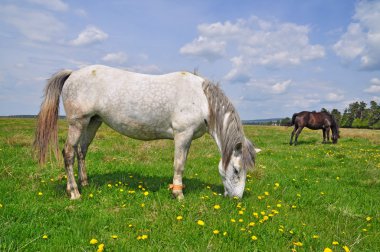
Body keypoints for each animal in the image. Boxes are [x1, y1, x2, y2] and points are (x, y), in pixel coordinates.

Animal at [34, 65, 258, 201]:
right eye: (236, 170)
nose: (236, 199)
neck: (201, 99)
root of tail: (72, 73)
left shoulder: (187, 139)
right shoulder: (182, 135)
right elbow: (179, 165)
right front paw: (178, 195)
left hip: (92, 122)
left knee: (82, 152)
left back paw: (85, 183)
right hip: (77, 122)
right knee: (69, 153)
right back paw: (74, 192)